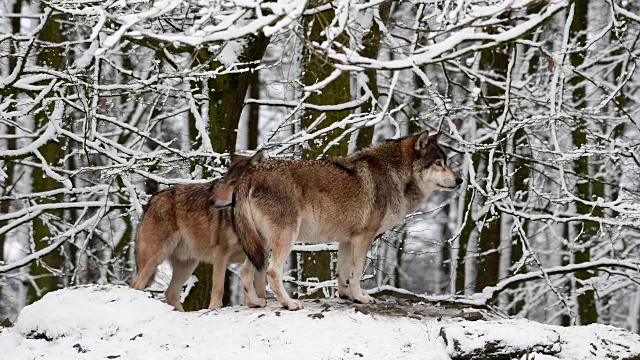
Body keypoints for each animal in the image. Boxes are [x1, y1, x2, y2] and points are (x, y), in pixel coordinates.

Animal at [131, 150, 266, 310]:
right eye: (224, 181)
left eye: (234, 182)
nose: (212, 201)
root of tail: (152, 200)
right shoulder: (221, 253)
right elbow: (218, 288)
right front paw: (214, 308)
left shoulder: (260, 255)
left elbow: (261, 285)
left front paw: (260, 301)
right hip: (156, 257)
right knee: (137, 284)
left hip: (187, 264)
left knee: (170, 293)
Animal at [212, 131, 462, 310]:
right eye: (438, 163)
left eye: (446, 161)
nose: (460, 180)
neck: (394, 175)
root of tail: (249, 174)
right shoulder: (364, 237)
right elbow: (357, 272)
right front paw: (362, 298)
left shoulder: (347, 240)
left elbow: (344, 273)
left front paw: (348, 296)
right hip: (285, 238)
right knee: (272, 272)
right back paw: (290, 304)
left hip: (259, 244)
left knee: (246, 272)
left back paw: (256, 303)